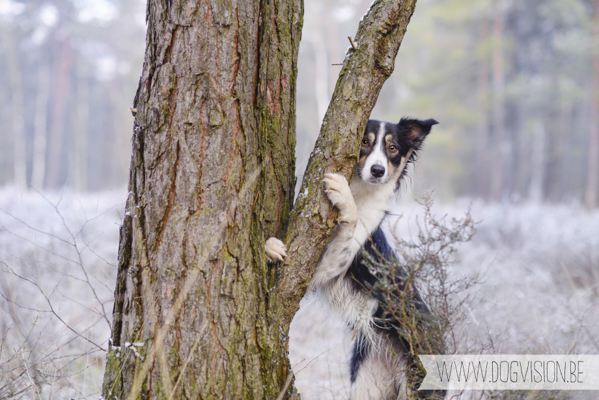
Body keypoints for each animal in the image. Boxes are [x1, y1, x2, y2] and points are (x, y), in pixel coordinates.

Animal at [268, 117, 440, 398]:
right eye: (364, 141)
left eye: (393, 148)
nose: (378, 170)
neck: (362, 193)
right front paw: (271, 246)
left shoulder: (330, 269)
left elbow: (351, 221)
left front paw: (343, 197)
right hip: (366, 382)